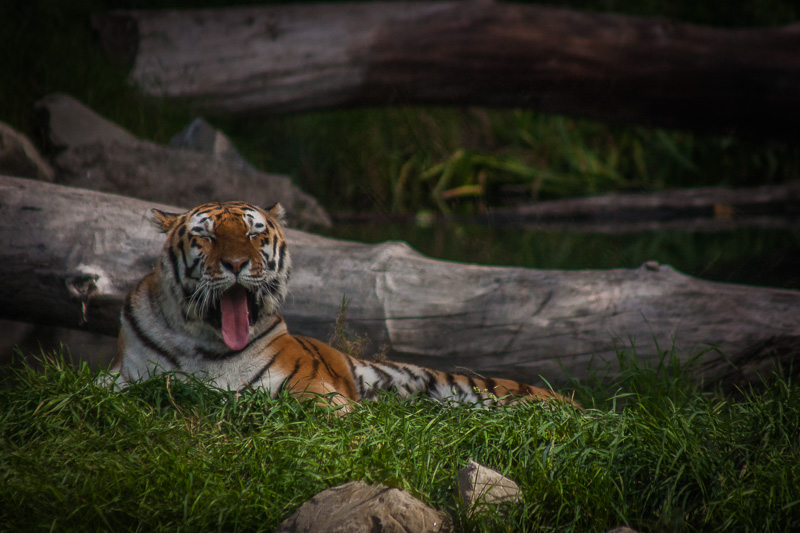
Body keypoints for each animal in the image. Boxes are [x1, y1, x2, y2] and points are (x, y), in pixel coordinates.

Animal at [111, 201, 577, 410]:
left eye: (254, 233)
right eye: (205, 236)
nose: (237, 263)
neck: (202, 344)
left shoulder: (310, 384)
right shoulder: (124, 376)